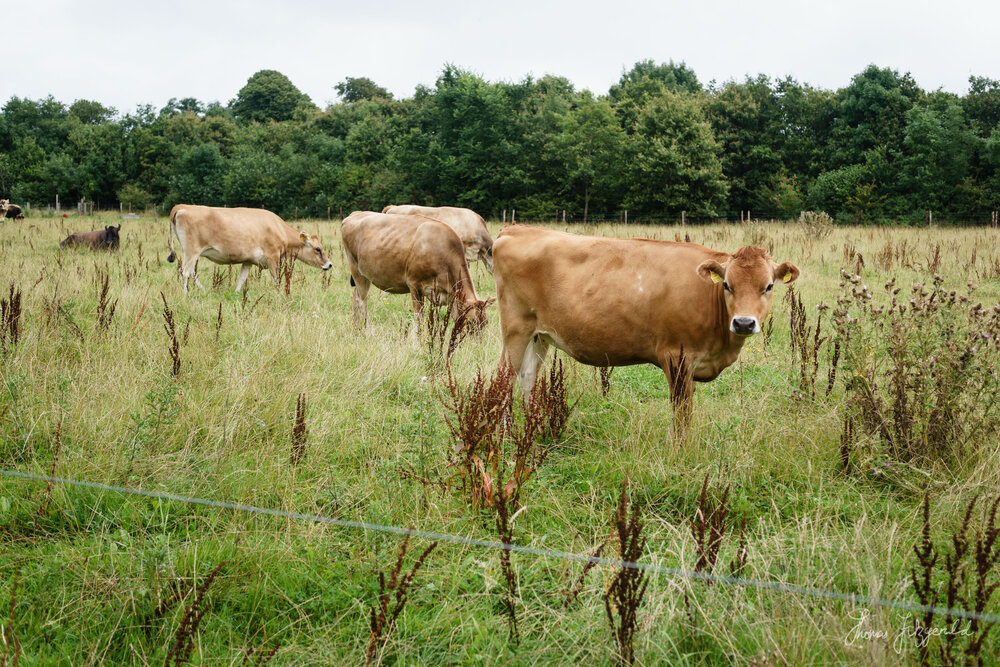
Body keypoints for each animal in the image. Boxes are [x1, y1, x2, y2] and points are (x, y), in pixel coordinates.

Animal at [166, 204, 334, 292]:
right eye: (318, 249)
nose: (329, 264)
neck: (278, 228)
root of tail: (182, 207)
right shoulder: (272, 256)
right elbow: (277, 278)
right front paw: (279, 294)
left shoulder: (248, 260)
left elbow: (242, 278)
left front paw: (236, 293)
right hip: (192, 250)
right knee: (185, 272)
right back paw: (185, 294)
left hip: (191, 253)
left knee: (191, 272)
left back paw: (203, 290)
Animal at [342, 211, 494, 332]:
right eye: (471, 322)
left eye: (485, 322)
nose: (475, 346)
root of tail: (354, 214)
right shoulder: (414, 285)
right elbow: (419, 319)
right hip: (356, 270)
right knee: (362, 301)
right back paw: (366, 330)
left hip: (363, 276)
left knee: (355, 297)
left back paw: (356, 329)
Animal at [490, 224, 796, 422]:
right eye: (727, 285)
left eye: (768, 286)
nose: (744, 323)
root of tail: (517, 229)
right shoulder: (676, 357)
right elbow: (682, 412)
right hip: (516, 328)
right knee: (504, 378)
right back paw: (507, 434)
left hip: (539, 334)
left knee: (527, 376)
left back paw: (534, 426)